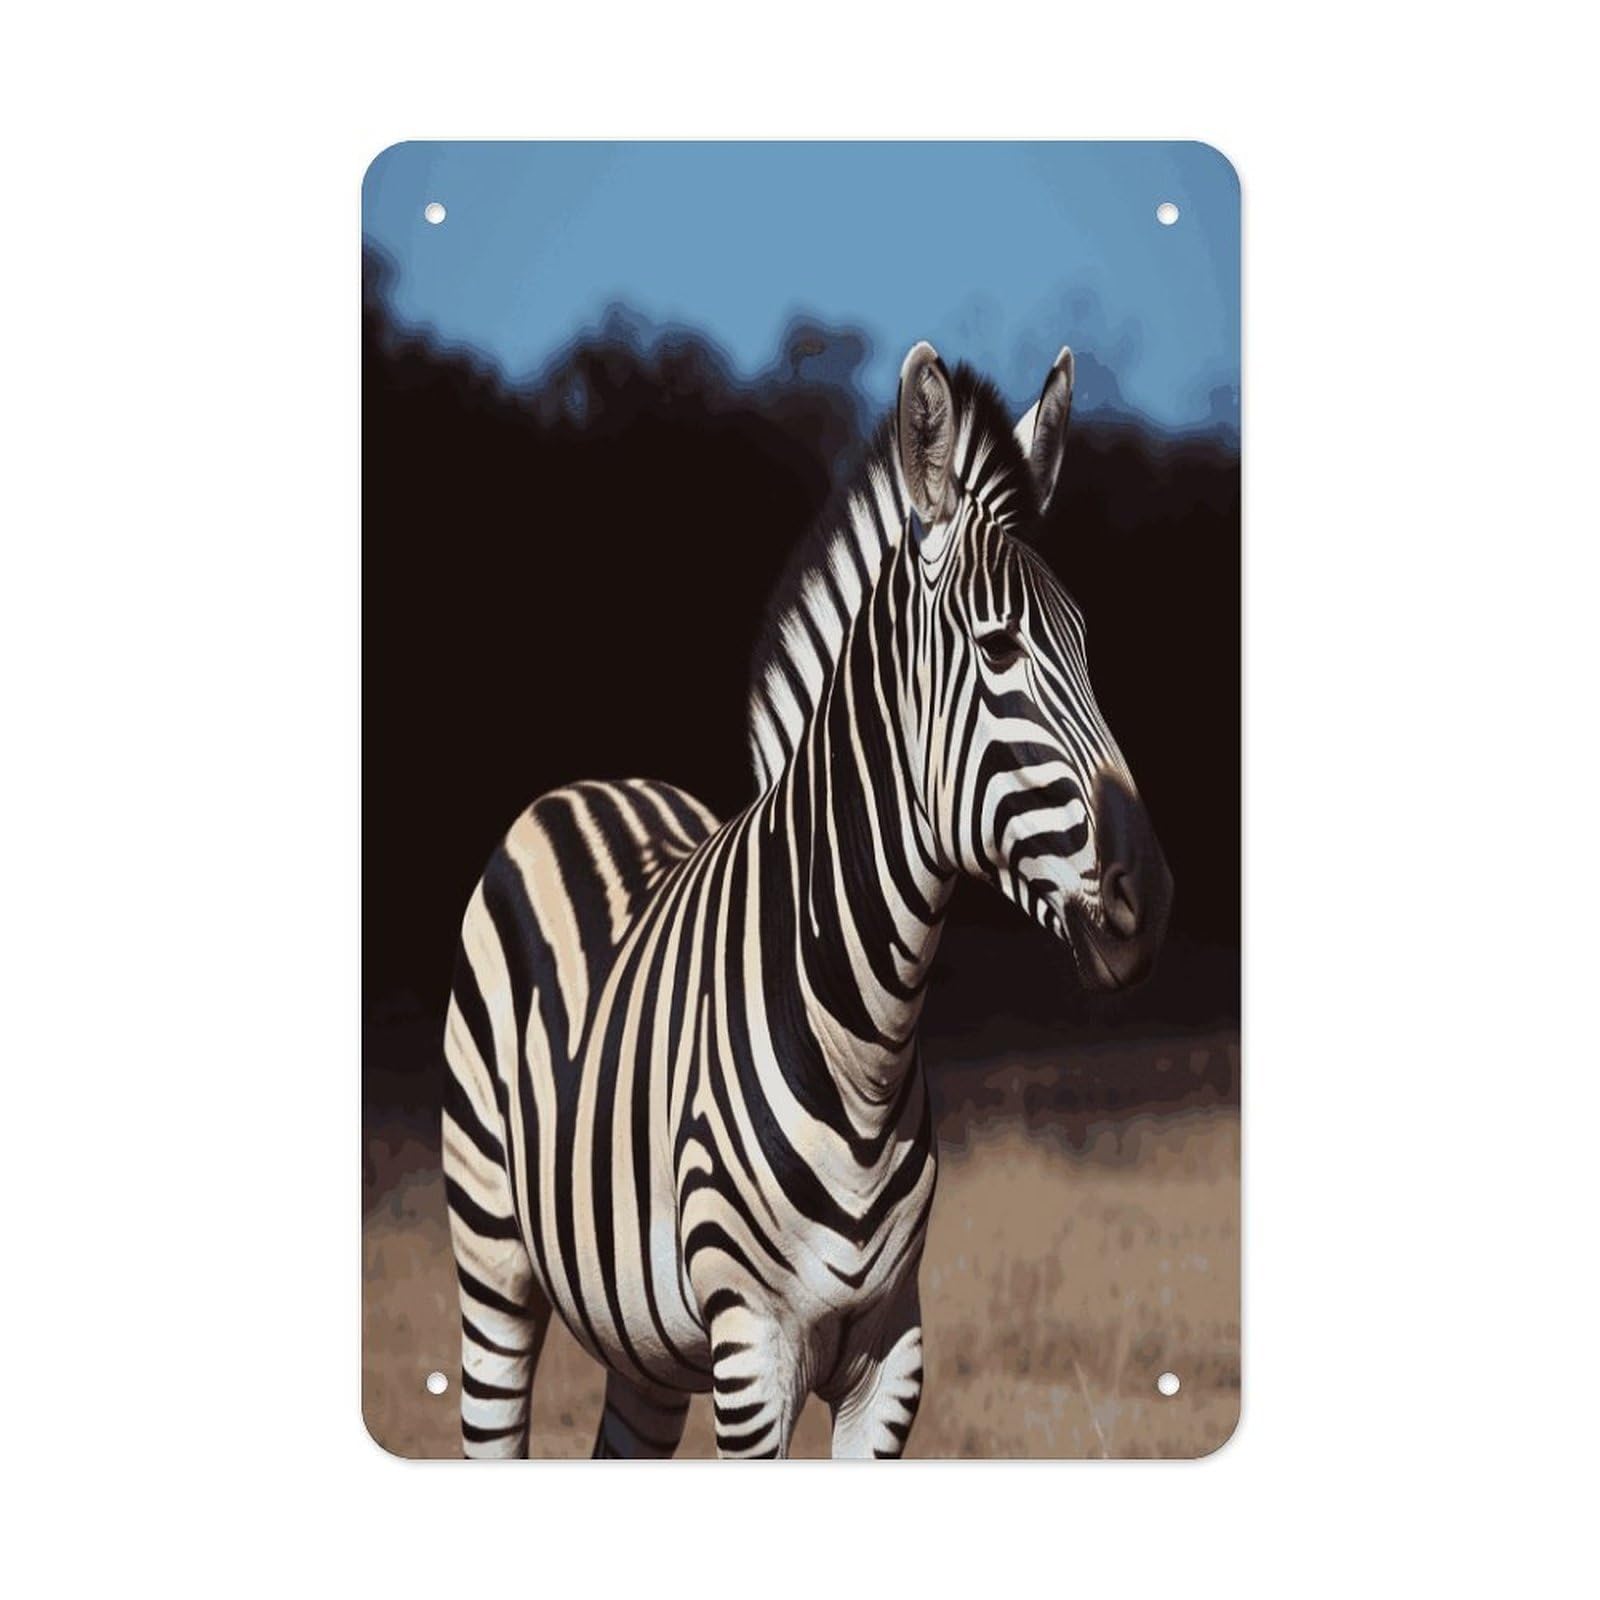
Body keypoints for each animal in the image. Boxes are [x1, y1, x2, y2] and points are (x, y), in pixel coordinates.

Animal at [442, 340, 1172, 1459]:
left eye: (1089, 649)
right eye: (999, 649)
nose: (1155, 898)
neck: (860, 1037)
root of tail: (591, 784)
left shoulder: (892, 1351)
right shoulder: (753, 1347)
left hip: (641, 1339)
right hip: (493, 1262)